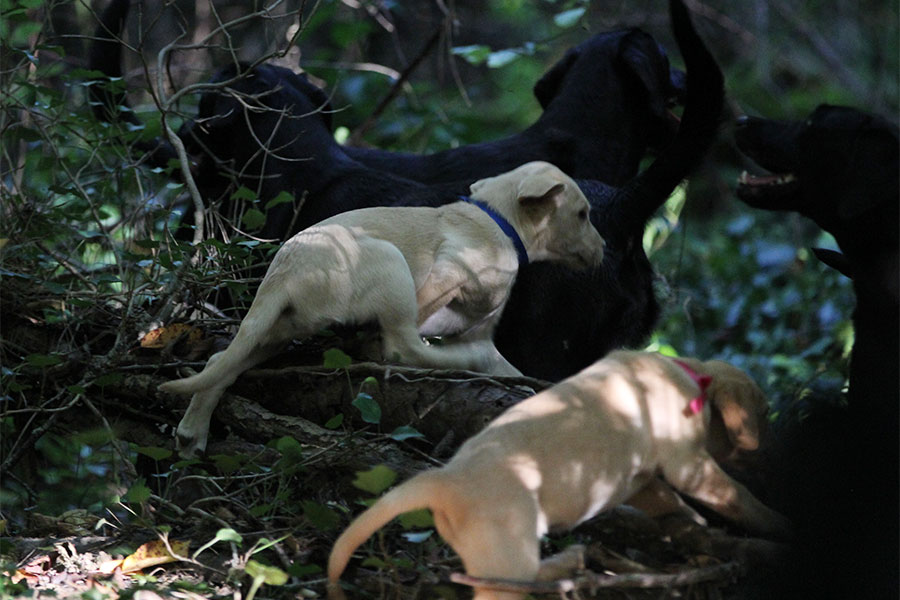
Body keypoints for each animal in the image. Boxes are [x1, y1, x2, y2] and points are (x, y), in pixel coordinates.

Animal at [159, 161, 605, 458]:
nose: (603, 250)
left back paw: (192, 432)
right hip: (390, 264)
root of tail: (283, 275)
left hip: (274, 332)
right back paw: (458, 361)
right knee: (402, 348)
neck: (497, 220)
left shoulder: (482, 331)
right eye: (583, 214)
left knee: (220, 362)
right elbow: (416, 332)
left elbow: (513, 370)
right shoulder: (446, 272)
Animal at [327, 350, 792, 600]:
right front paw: (779, 523)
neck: (692, 377)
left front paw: (693, 527)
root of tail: (445, 481)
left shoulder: (642, 482)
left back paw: (571, 562)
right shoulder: (690, 465)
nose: (781, 457)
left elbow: (669, 502)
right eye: (765, 413)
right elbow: (740, 499)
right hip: (509, 552)